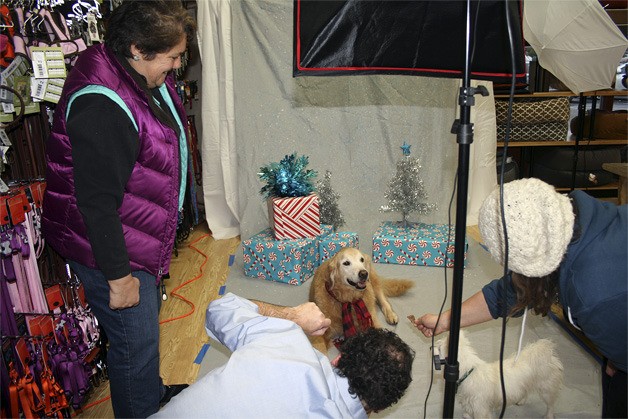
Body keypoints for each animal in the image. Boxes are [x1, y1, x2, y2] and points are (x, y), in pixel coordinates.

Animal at [436, 330, 564, 418]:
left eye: (439, 347)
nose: (433, 345)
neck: (469, 372)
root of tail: (548, 356)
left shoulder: (481, 408)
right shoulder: (471, 403)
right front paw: (467, 415)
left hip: (546, 389)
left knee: (551, 404)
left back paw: (549, 416)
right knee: (526, 391)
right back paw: (521, 400)